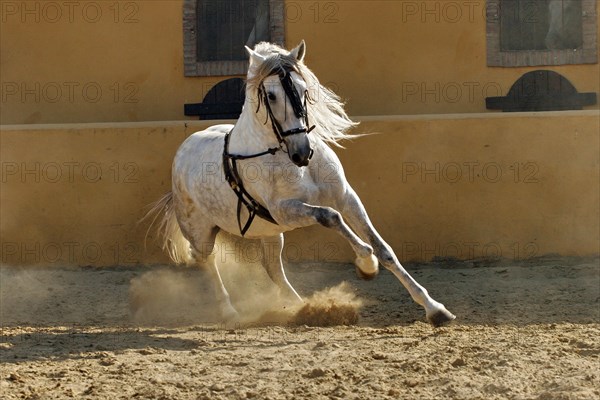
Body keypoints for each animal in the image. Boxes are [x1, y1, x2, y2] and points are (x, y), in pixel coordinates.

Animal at [150, 41, 454, 324]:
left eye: (304, 90)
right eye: (271, 95)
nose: (302, 152)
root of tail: (184, 150)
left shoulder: (346, 196)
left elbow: (384, 248)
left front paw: (435, 309)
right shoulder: (285, 210)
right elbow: (331, 217)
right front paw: (366, 265)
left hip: (270, 233)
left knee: (272, 268)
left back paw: (300, 307)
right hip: (201, 232)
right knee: (206, 260)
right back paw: (230, 312)